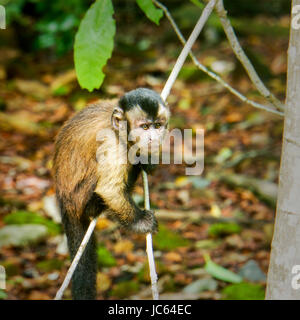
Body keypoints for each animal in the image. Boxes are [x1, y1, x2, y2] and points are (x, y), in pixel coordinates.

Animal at [52, 88, 170, 300]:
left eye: (157, 126)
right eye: (144, 127)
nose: (153, 138)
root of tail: (65, 203)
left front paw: (147, 159)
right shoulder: (113, 144)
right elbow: (109, 189)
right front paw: (141, 222)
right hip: (81, 198)